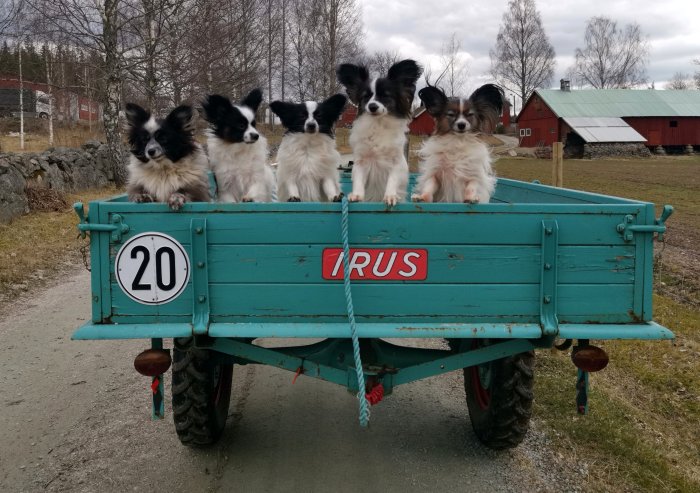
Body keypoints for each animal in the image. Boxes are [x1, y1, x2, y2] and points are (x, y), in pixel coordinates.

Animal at [338, 59, 424, 206]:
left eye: (385, 95)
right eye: (366, 97)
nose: (372, 106)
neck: (378, 124)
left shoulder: (395, 163)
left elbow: (392, 180)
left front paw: (390, 196)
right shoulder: (361, 162)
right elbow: (359, 179)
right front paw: (356, 195)